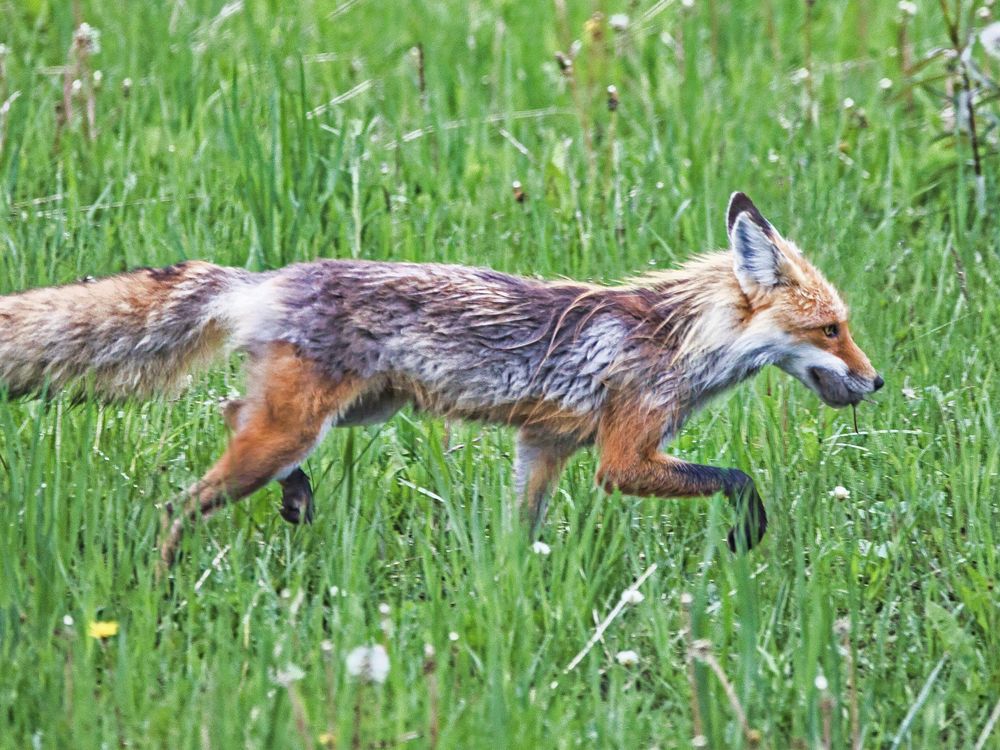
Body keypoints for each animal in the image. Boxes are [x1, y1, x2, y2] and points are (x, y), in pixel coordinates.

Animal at [0, 193, 882, 567]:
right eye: (830, 329)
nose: (875, 384)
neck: (675, 339)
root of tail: (270, 278)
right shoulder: (623, 457)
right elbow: (740, 480)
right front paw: (744, 539)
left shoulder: (544, 446)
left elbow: (520, 529)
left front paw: (513, 585)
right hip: (297, 426)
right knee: (180, 501)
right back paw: (164, 577)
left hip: (349, 414)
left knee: (225, 408)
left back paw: (295, 499)